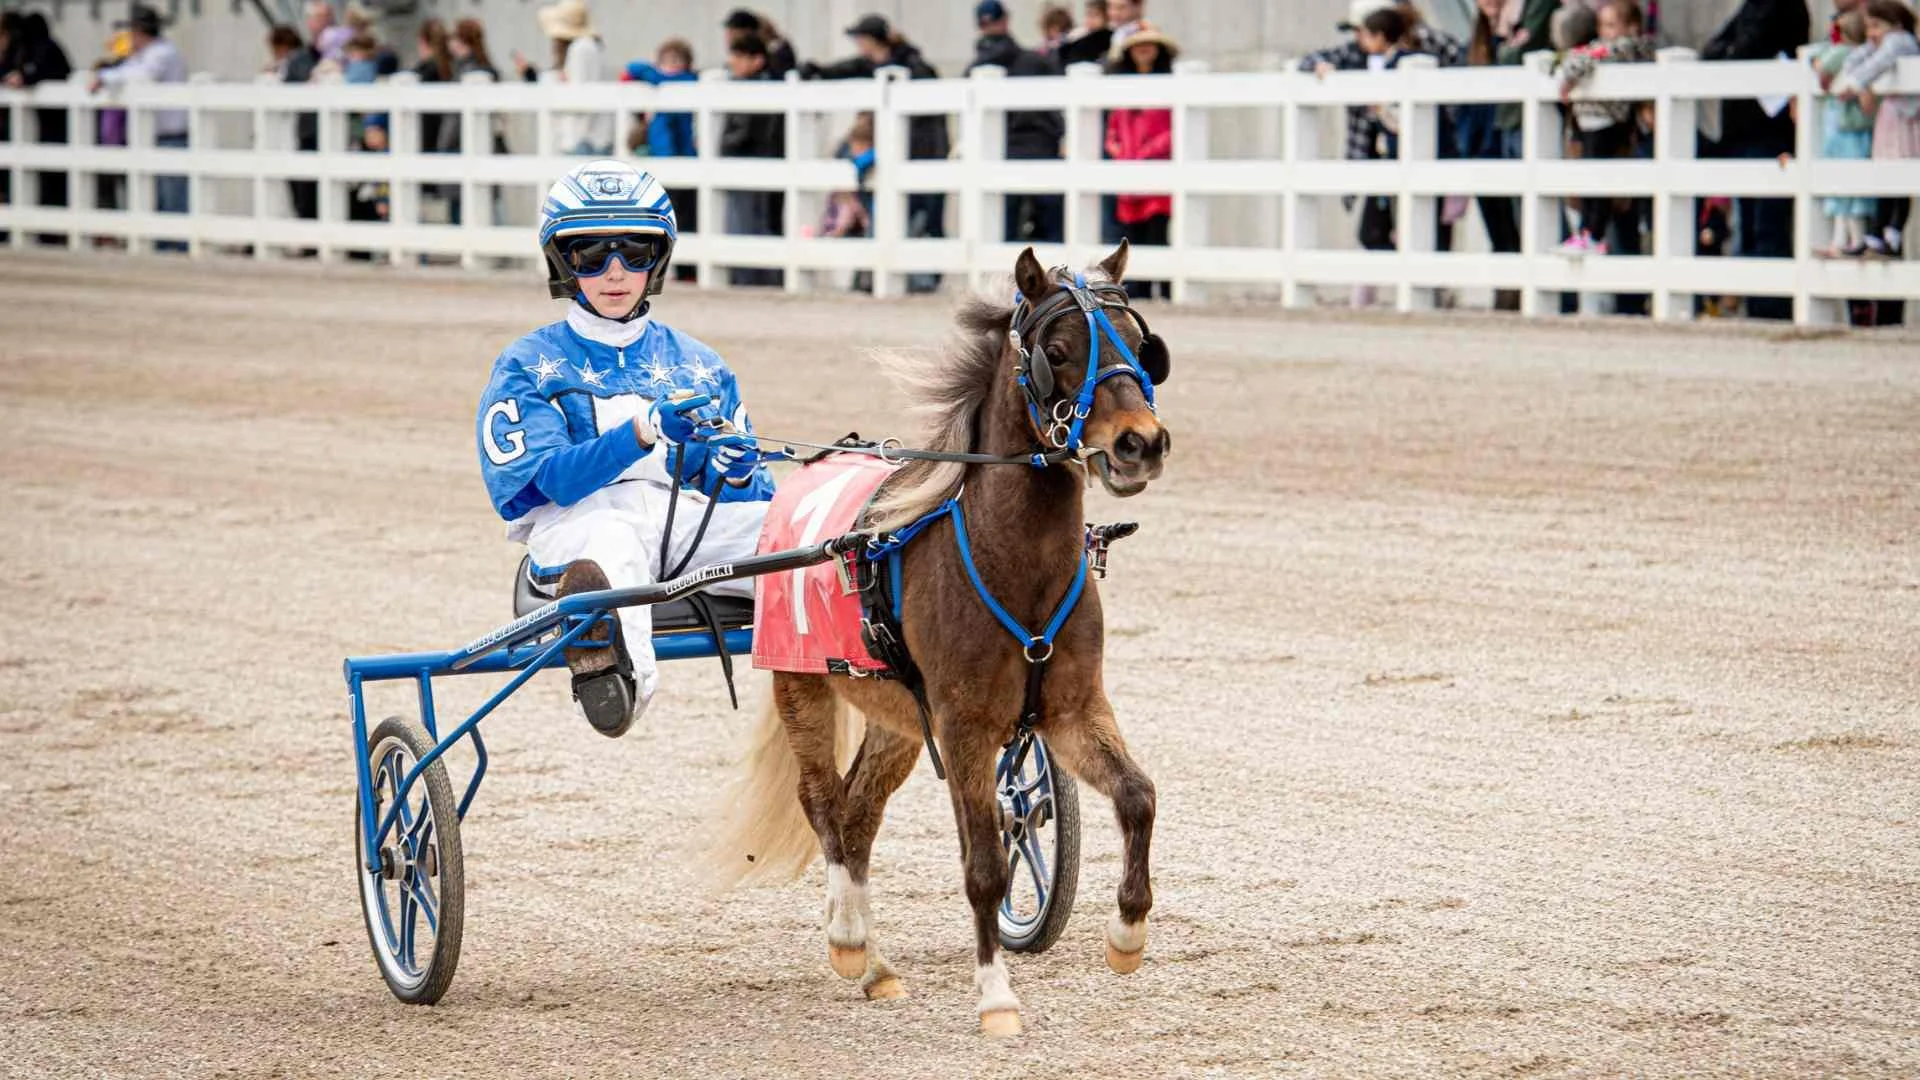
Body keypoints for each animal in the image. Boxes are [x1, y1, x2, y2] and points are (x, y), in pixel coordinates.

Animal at [707, 241, 1172, 1035]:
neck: (1010, 563)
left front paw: (1126, 934)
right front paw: (996, 998)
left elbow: (1137, 796)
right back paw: (852, 944)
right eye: (1056, 352)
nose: (1139, 443)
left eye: (1142, 348)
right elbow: (983, 866)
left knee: (859, 811)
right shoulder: (962, 726)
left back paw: (875, 964)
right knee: (823, 803)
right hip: (802, 683)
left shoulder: (1072, 711)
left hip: (895, 713)